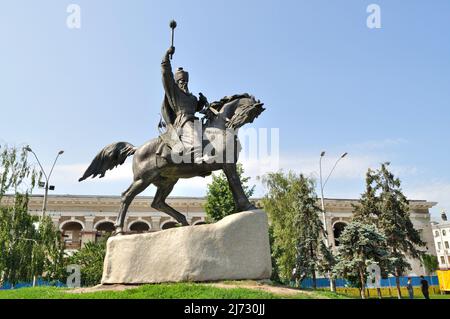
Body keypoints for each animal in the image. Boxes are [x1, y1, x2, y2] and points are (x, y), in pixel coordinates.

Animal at [79, 94, 266, 234]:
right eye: (250, 113)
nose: (233, 124)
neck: (219, 129)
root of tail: (137, 149)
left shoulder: (227, 165)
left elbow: (234, 184)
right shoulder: (228, 164)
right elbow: (235, 183)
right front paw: (248, 206)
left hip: (168, 181)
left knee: (157, 203)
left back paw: (183, 222)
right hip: (143, 179)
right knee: (127, 196)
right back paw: (118, 230)